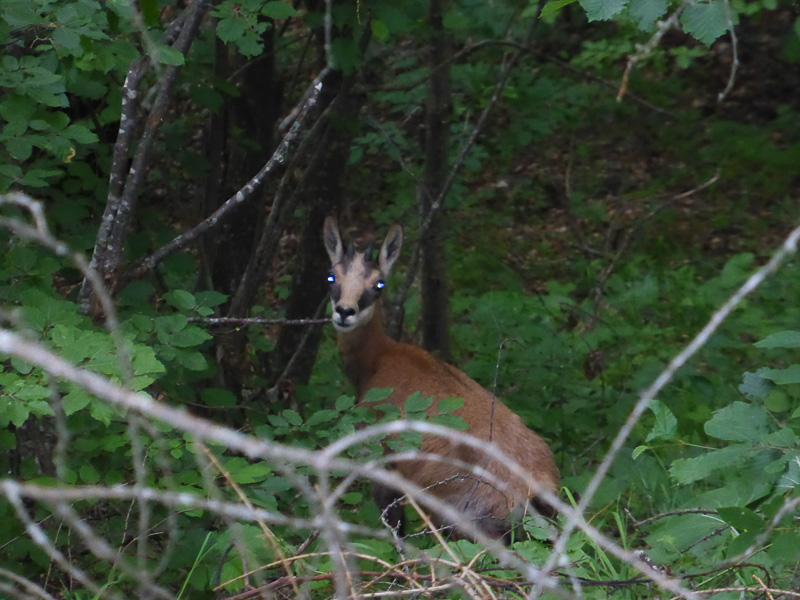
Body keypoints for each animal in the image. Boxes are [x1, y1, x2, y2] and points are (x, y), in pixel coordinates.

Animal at [323, 217, 559, 540]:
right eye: (331, 277)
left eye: (378, 284)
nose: (345, 311)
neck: (377, 361)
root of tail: (534, 490)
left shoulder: (381, 460)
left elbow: (395, 527)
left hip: (464, 519)